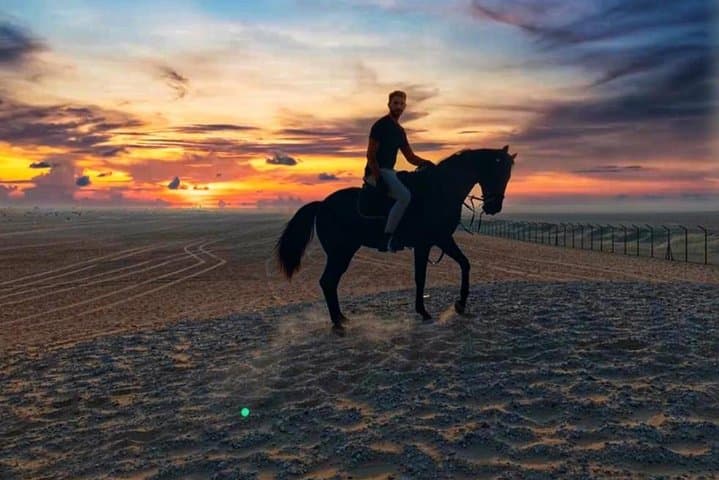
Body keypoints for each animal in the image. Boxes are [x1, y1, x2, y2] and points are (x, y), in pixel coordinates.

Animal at [274, 145, 516, 336]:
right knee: (327, 282)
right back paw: (338, 323)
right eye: (497, 173)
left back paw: (341, 319)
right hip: (340, 253)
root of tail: (322, 204)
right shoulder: (431, 242)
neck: (440, 190)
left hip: (342, 253)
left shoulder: (440, 240)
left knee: (330, 282)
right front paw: (426, 312)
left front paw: (459, 305)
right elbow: (422, 277)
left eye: (508, 176)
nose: (494, 207)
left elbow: (464, 264)